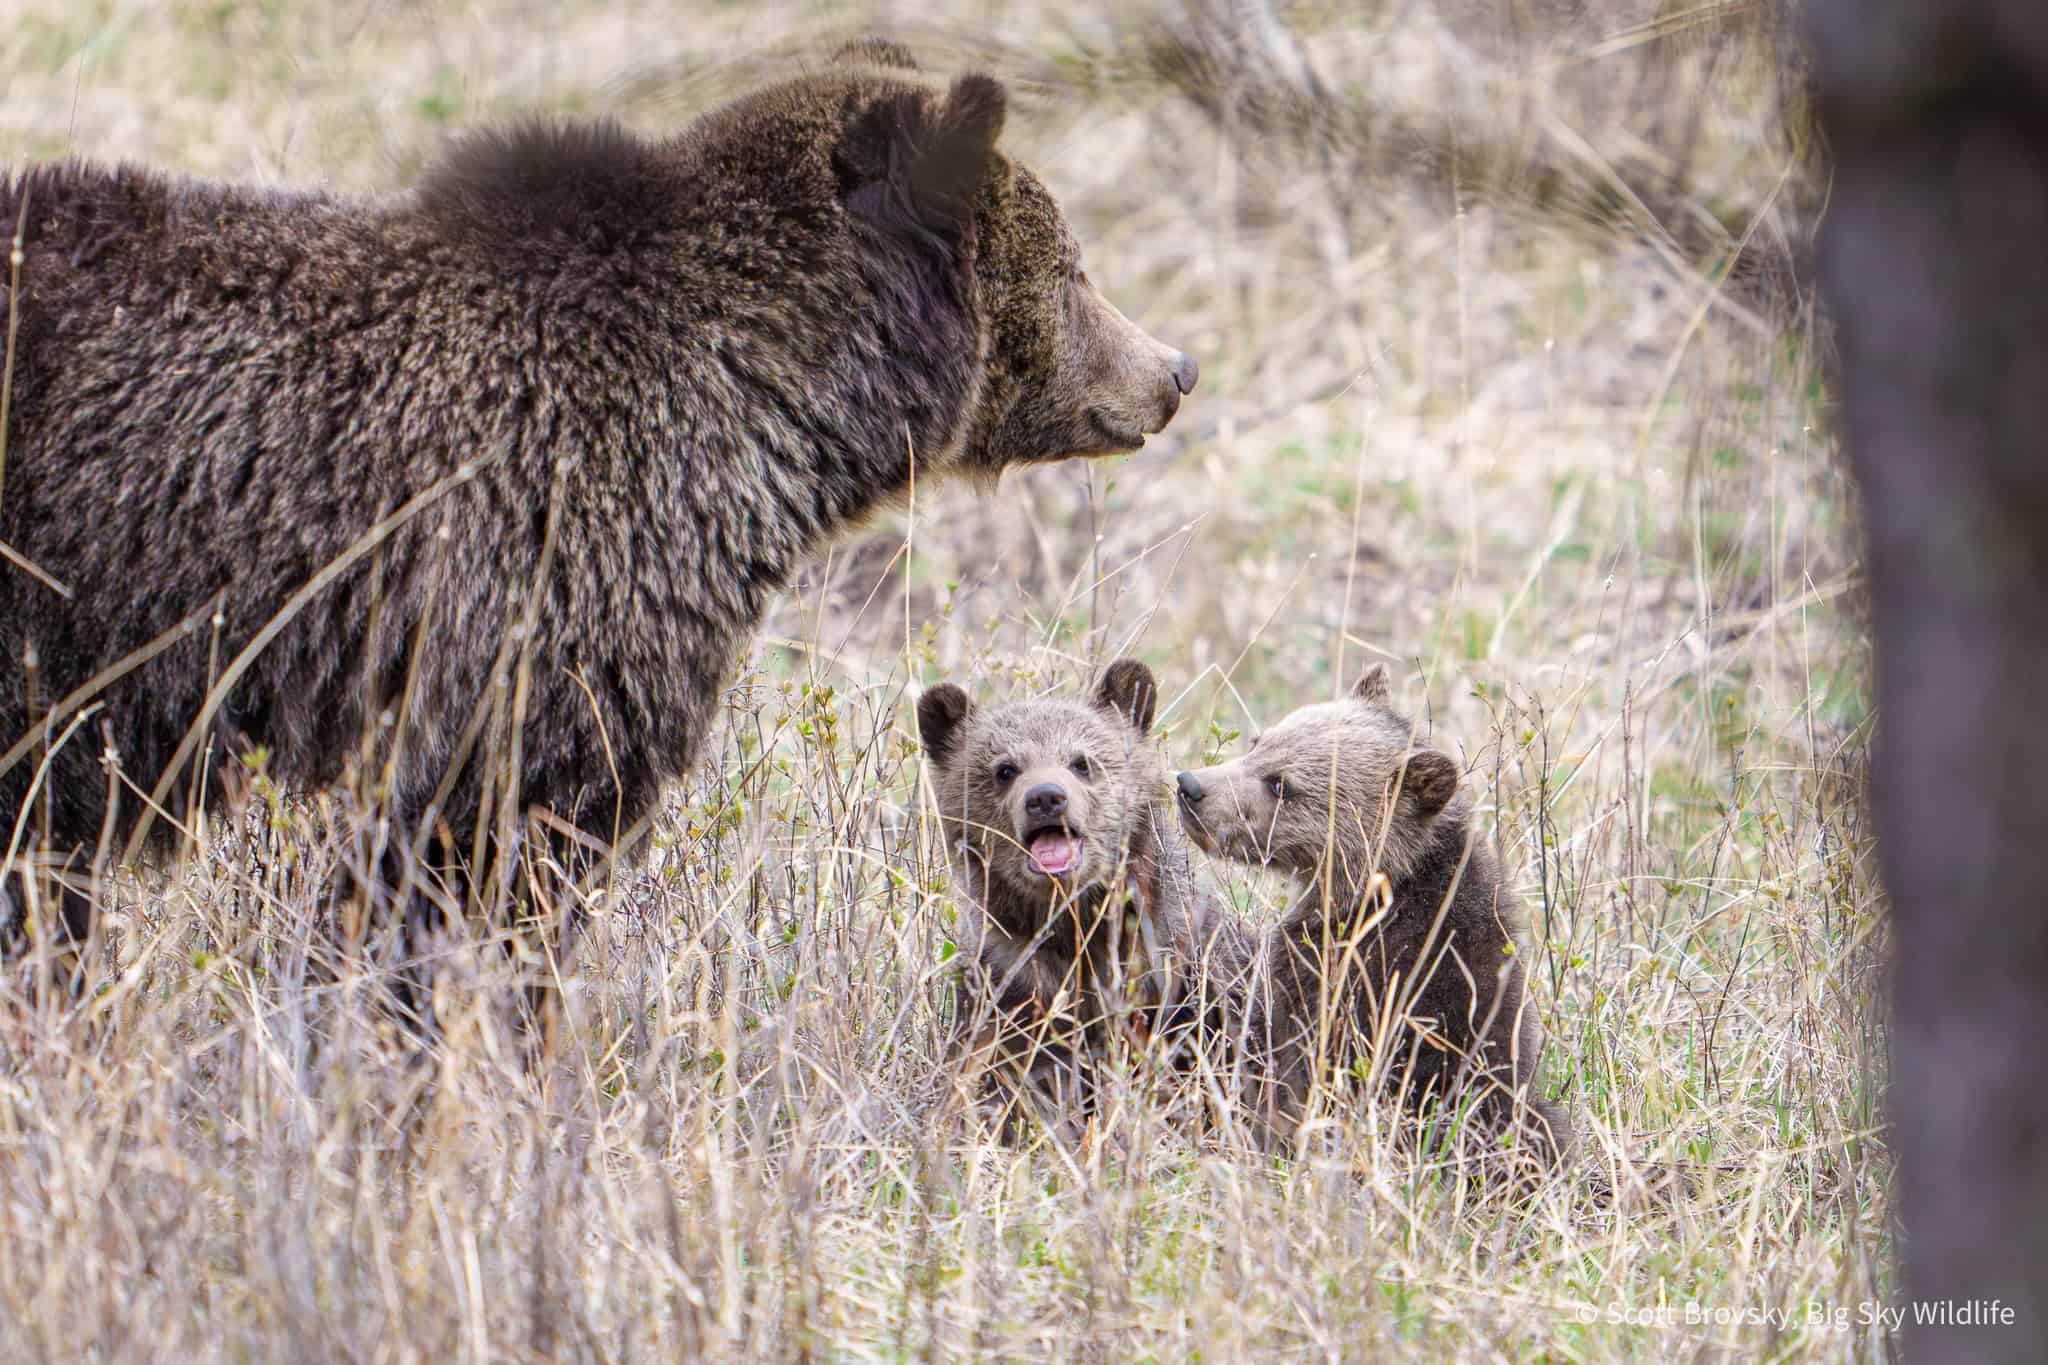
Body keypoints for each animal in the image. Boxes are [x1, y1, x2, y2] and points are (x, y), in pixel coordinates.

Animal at [915, 658, 1251, 1143]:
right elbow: (989, 1072)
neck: (1073, 926)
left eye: (1082, 762)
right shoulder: (1006, 981)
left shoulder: (1166, 975)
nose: (1045, 797)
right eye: (1005, 768)